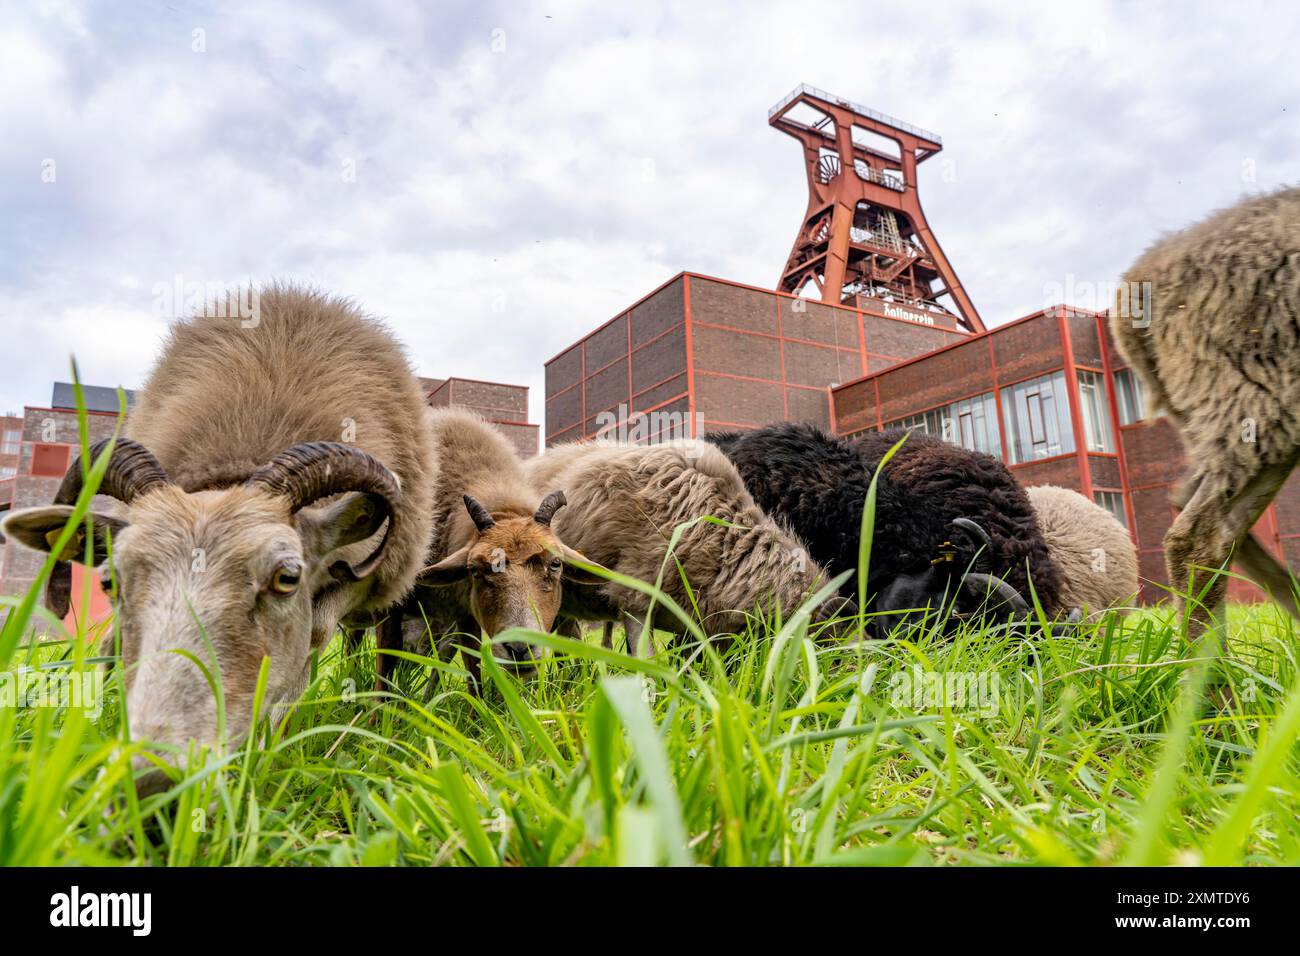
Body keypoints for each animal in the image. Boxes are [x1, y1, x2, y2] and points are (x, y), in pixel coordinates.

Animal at [0, 282, 439, 780]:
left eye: (287, 578)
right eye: (110, 582)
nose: (154, 776)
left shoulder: (361, 579)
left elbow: (313, 636)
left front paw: (271, 739)